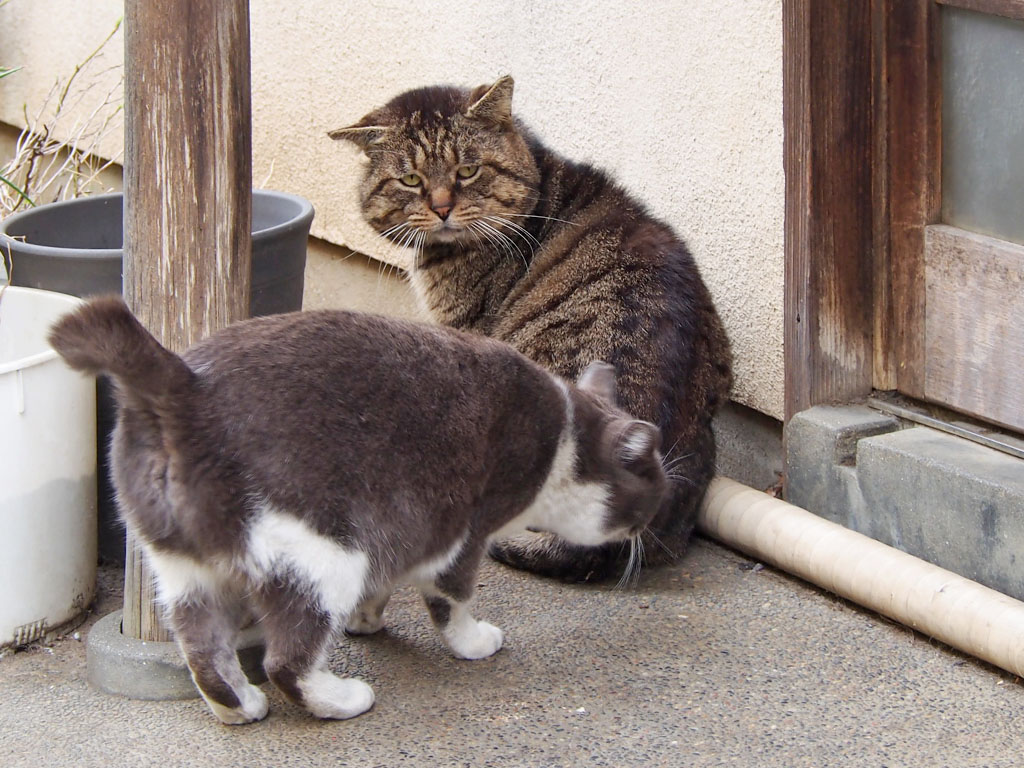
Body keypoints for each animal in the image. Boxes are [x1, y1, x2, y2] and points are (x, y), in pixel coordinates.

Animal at [51, 296, 667, 724]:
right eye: (656, 483)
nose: (654, 521)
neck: (562, 439)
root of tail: (184, 391)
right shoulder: (461, 532)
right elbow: (453, 600)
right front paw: (473, 643)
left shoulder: (398, 530)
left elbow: (384, 582)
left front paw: (366, 622)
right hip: (322, 556)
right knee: (286, 660)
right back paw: (341, 699)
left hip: (183, 570)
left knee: (203, 650)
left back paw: (239, 708)